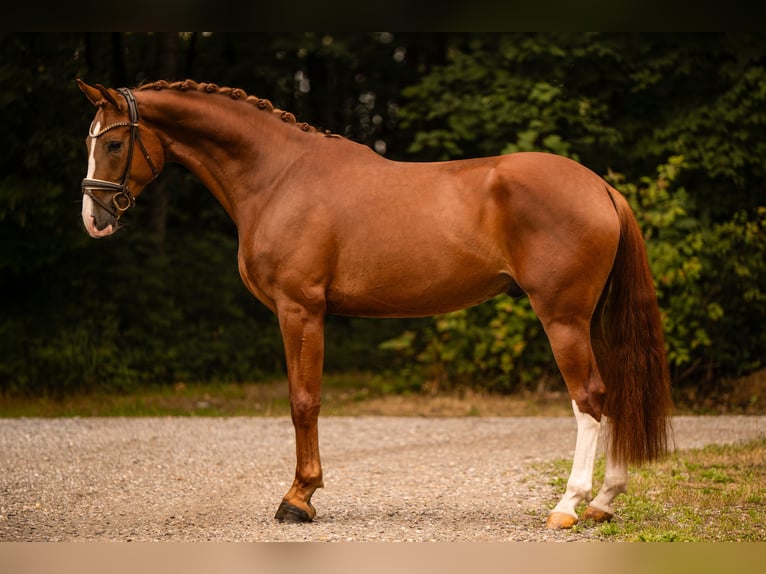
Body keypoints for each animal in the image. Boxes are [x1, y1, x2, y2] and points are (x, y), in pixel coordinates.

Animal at [77, 79, 672, 529]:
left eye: (113, 144)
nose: (95, 219)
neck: (279, 176)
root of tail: (599, 187)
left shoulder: (300, 310)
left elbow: (304, 401)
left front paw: (298, 499)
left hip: (563, 318)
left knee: (589, 399)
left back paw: (569, 505)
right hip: (590, 320)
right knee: (612, 396)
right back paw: (603, 502)